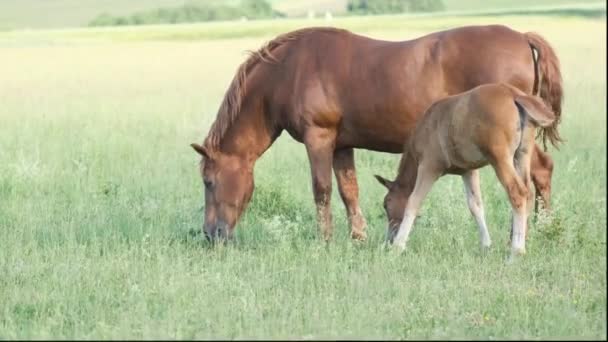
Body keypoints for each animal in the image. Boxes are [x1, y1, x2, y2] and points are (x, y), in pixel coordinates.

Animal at [382, 81, 560, 255]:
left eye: (386, 204)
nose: (389, 240)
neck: (427, 126)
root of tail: (514, 94)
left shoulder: (429, 166)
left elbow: (413, 201)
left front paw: (398, 247)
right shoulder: (468, 170)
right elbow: (476, 205)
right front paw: (486, 245)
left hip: (500, 159)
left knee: (517, 192)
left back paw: (516, 251)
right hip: (522, 155)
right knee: (528, 192)